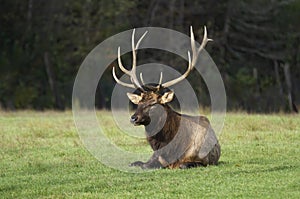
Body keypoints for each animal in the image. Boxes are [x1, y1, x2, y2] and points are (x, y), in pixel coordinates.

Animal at [112, 26, 220, 169]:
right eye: (138, 103)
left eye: (153, 103)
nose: (134, 118)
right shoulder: (156, 157)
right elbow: (142, 164)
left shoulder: (202, 160)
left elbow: (183, 165)